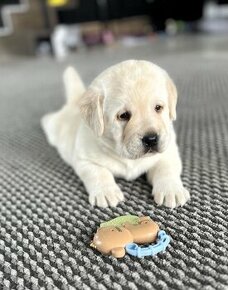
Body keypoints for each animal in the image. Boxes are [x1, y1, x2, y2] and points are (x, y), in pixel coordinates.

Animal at [41, 59, 189, 208]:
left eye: (158, 108)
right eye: (123, 115)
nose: (151, 139)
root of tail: (75, 101)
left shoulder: (169, 151)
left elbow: (167, 168)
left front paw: (171, 189)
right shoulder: (85, 160)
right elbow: (99, 173)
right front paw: (106, 192)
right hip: (55, 127)